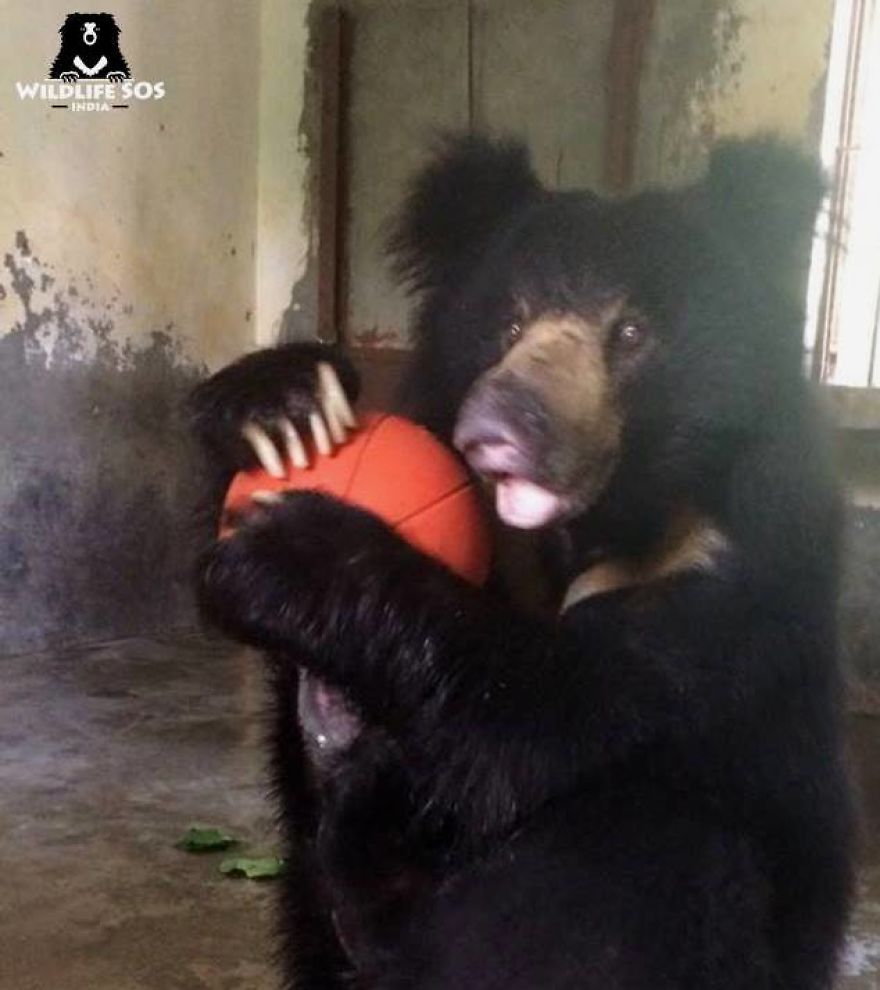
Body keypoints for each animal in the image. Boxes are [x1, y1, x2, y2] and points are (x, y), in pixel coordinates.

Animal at [190, 135, 855, 989]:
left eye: (631, 333)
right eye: (508, 322)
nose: (495, 429)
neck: (594, 524)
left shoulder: (730, 587)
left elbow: (533, 711)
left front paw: (291, 554)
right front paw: (282, 404)